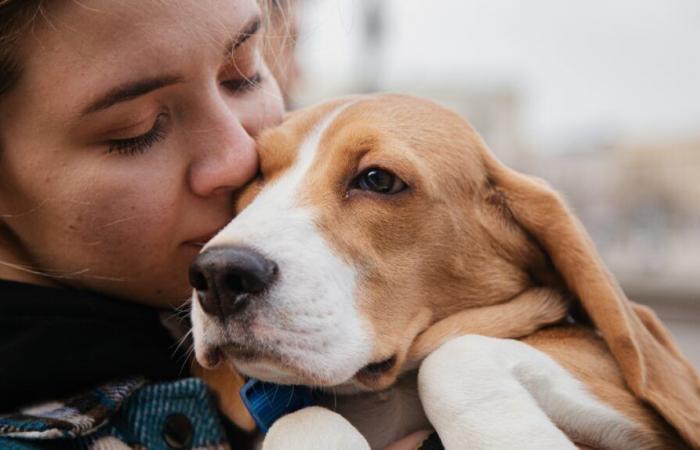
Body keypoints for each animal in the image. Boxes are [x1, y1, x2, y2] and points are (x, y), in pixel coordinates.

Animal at [190, 93, 700, 448]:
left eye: (378, 179)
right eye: (255, 177)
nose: (218, 275)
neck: (384, 396)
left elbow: (453, 356)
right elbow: (299, 417)